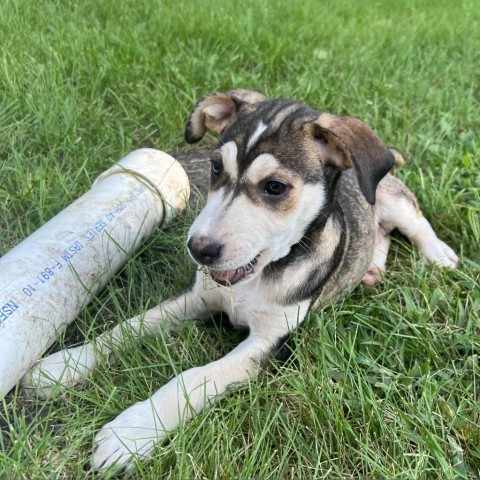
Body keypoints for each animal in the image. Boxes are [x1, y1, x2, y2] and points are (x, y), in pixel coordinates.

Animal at [21, 88, 458, 470]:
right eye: (216, 167)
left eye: (275, 187)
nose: (198, 249)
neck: (257, 278)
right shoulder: (198, 298)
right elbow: (129, 327)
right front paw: (66, 365)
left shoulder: (270, 344)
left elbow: (195, 377)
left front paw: (132, 431)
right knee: (380, 234)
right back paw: (371, 269)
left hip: (395, 201)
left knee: (414, 222)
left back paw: (439, 255)